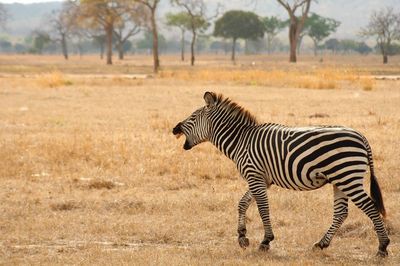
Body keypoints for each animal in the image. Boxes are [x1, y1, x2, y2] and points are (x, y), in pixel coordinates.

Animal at [173, 91, 390, 256]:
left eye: (193, 117)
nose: (174, 128)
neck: (241, 140)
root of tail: (361, 136)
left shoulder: (254, 175)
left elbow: (262, 208)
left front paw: (265, 241)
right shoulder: (261, 179)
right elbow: (243, 203)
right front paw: (242, 237)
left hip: (348, 177)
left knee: (370, 207)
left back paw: (382, 247)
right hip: (340, 180)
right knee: (341, 212)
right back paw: (321, 244)